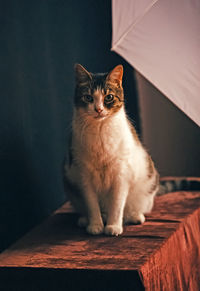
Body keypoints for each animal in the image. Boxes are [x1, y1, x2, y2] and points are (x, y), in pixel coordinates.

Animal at [63, 64, 199, 237]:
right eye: (88, 98)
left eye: (109, 97)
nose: (98, 109)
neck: (100, 131)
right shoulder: (84, 175)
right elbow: (92, 204)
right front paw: (95, 225)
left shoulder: (121, 173)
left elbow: (117, 204)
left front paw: (113, 226)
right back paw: (85, 219)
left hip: (146, 186)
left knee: (135, 208)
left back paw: (134, 216)